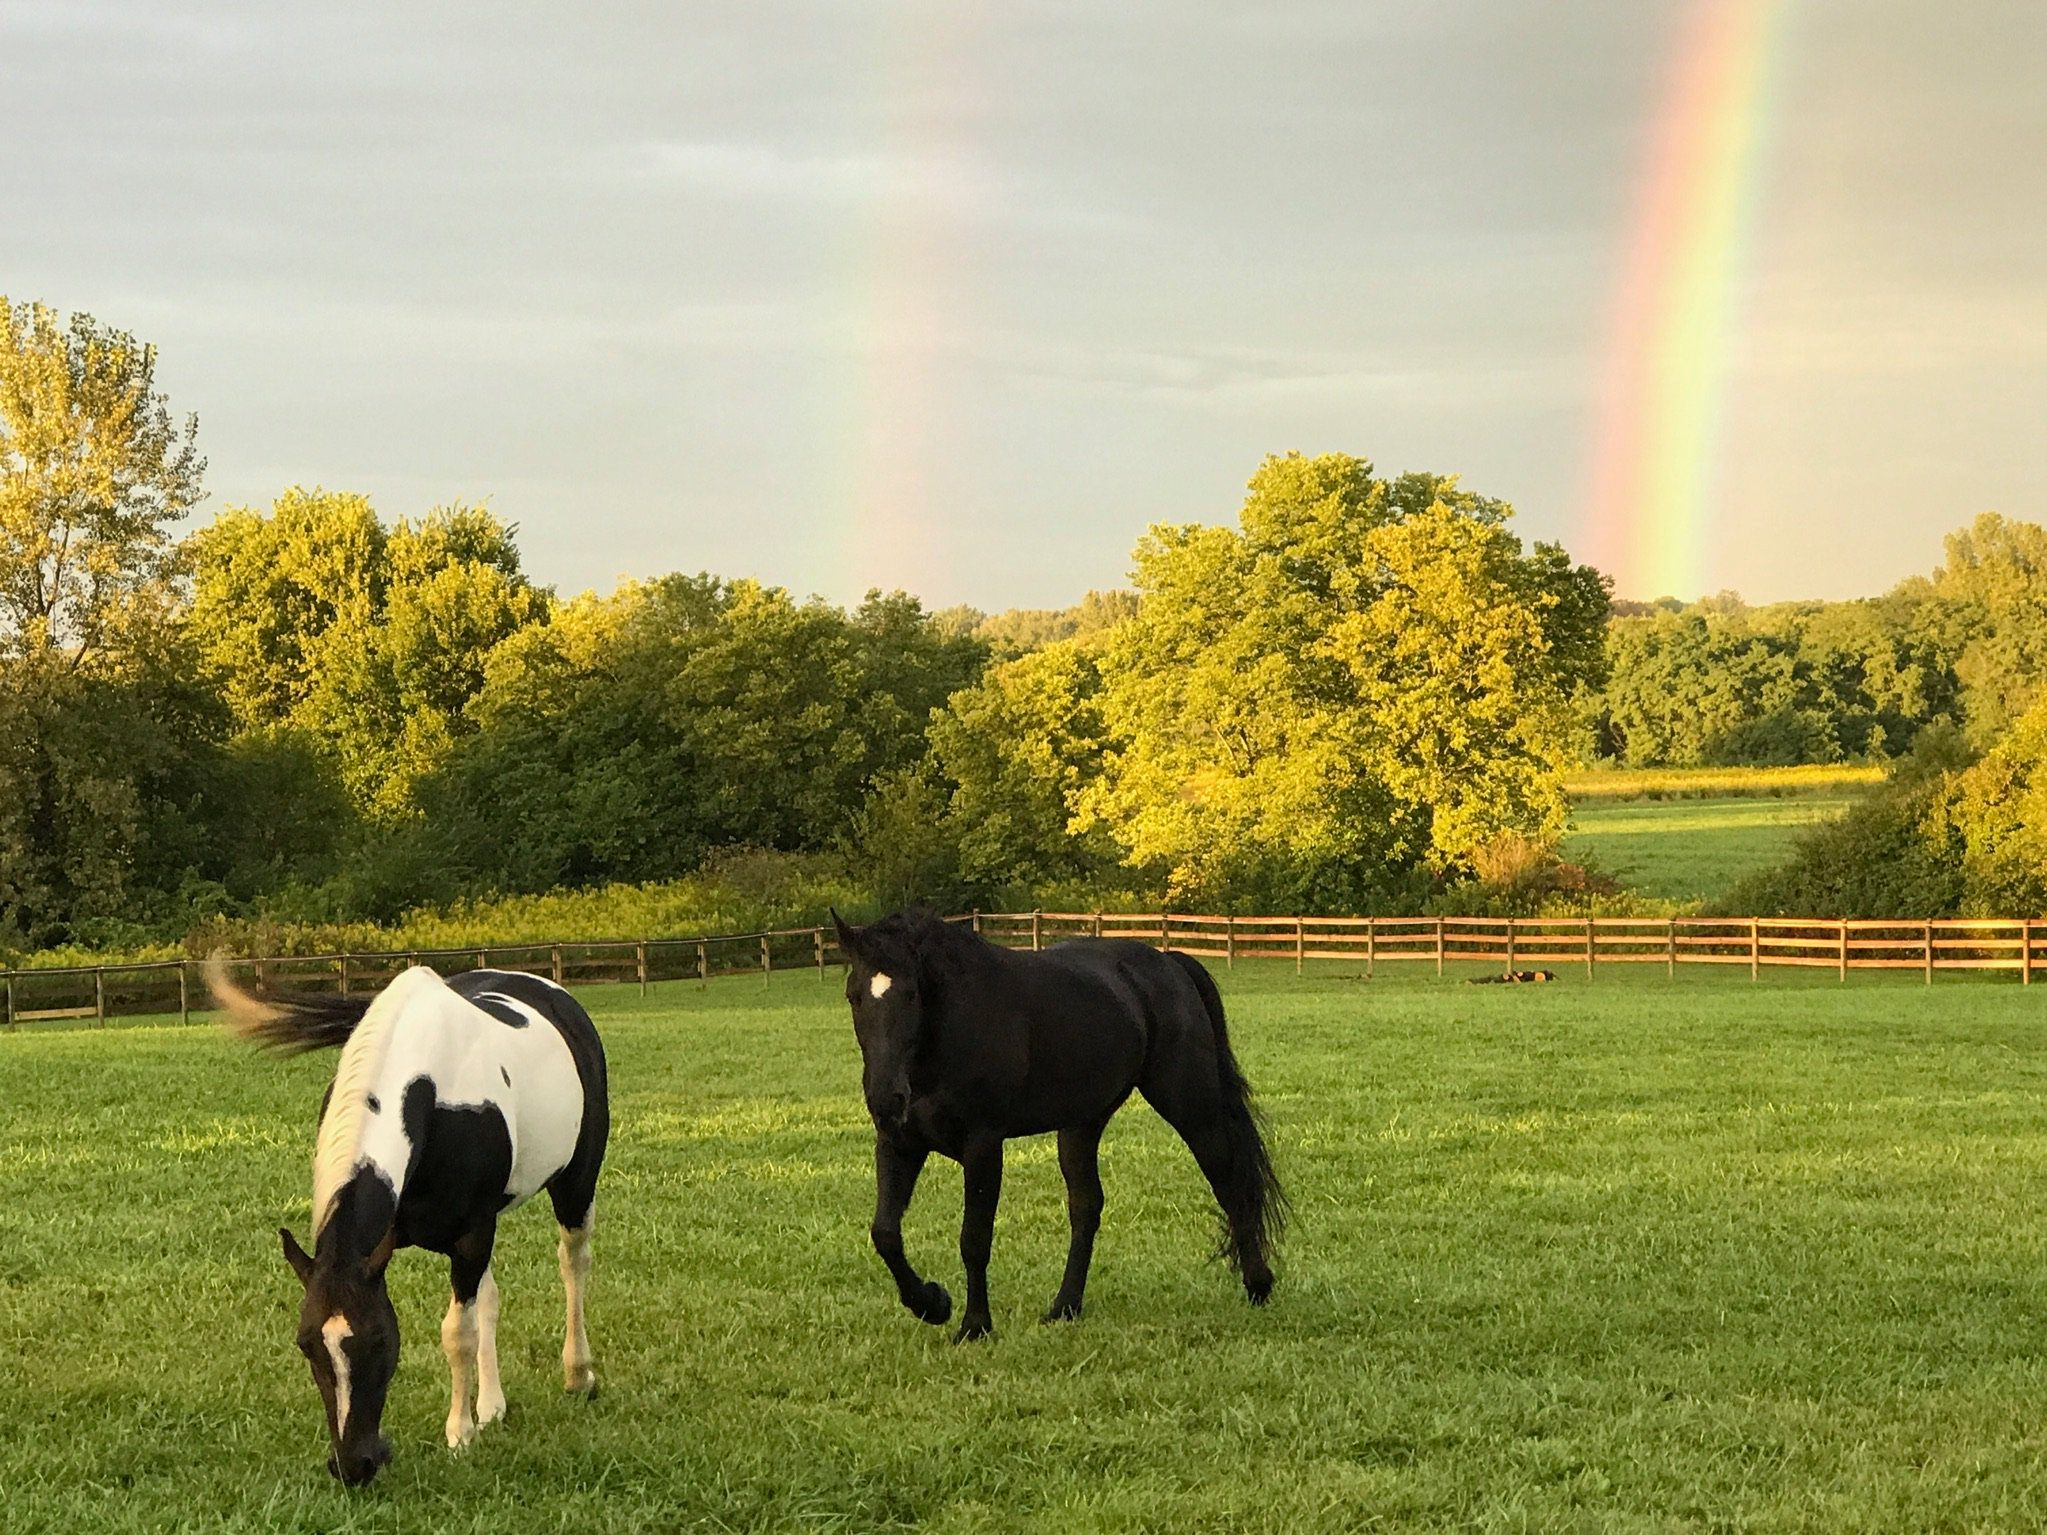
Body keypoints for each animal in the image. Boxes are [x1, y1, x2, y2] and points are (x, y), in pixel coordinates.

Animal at [210, 959, 609, 1487]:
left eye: (380, 1340)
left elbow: (457, 1334)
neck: (432, 1093)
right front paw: (477, 1417)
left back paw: (577, 1374)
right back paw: (493, 1404)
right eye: (306, 1344)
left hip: (575, 1184)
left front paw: (460, 1434)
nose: (353, 1466)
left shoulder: (471, 1235)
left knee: (573, 1265)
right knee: (491, 1297)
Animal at [830, 909, 1286, 1342]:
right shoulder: (899, 1143)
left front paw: (974, 1325)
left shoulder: (983, 1146)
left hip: (1191, 1106)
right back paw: (1065, 1306)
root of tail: (1169, 963)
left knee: (1229, 1183)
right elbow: (885, 1233)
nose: (886, 1099)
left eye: (912, 994)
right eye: (854, 996)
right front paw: (932, 1303)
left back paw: (1258, 1284)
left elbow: (974, 1240)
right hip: (1081, 1127)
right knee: (1086, 1208)